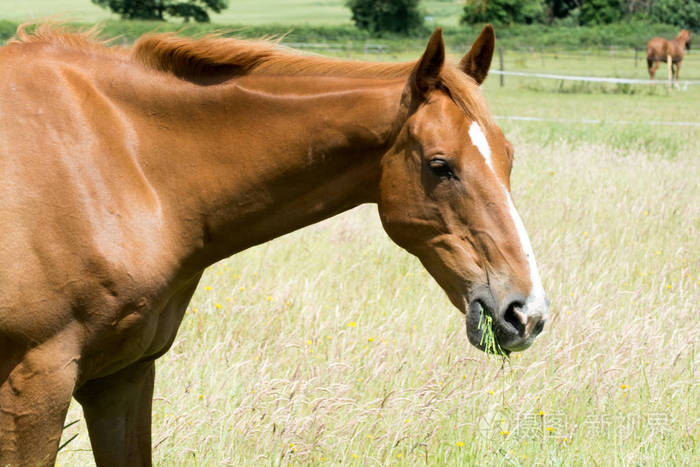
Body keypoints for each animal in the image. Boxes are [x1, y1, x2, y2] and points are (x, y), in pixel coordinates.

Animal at [0, 24, 549, 466]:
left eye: (507, 157)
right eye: (440, 165)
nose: (526, 314)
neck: (117, 159)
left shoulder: (123, 376)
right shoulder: (35, 383)